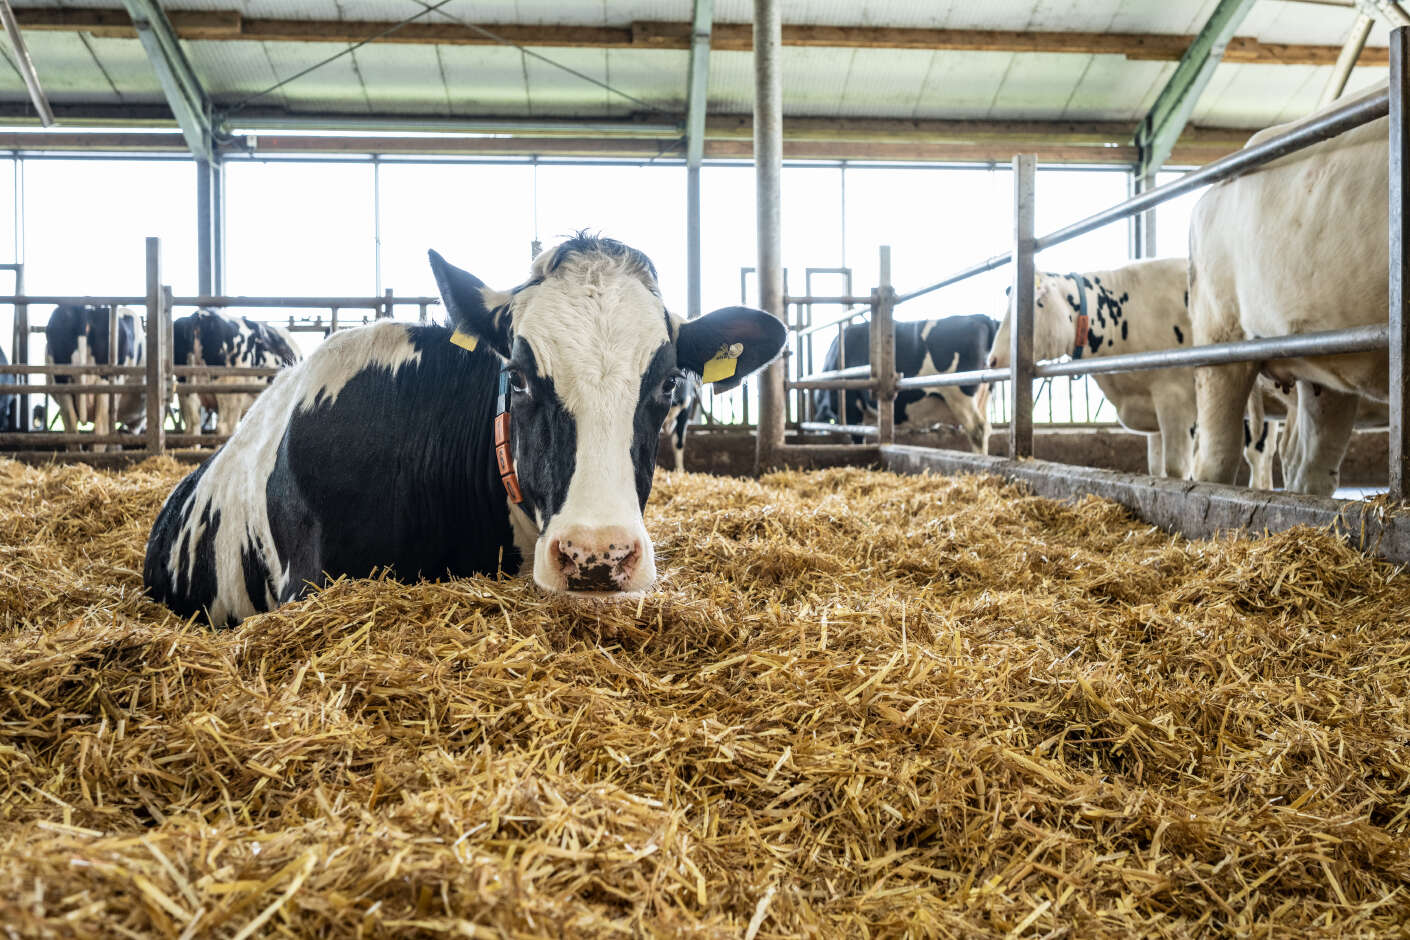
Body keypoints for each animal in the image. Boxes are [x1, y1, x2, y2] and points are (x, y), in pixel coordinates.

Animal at [812, 314, 997, 453]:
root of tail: (978, 317)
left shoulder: (852, 408)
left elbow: (857, 437)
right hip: (982, 398)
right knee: (986, 429)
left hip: (960, 394)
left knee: (977, 430)